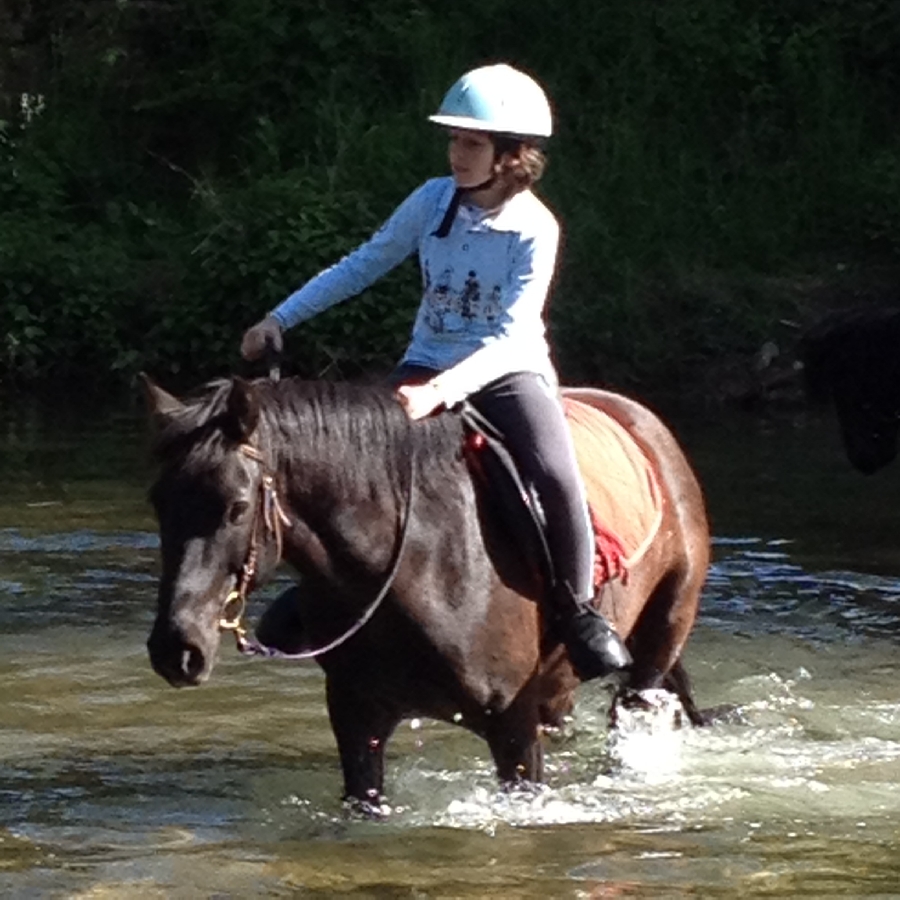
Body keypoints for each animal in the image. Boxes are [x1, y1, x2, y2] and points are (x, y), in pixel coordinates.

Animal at [142, 376, 712, 812]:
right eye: (159, 502)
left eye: (237, 507)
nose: (177, 651)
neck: (421, 569)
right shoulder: (357, 720)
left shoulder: (515, 728)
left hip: (655, 648)